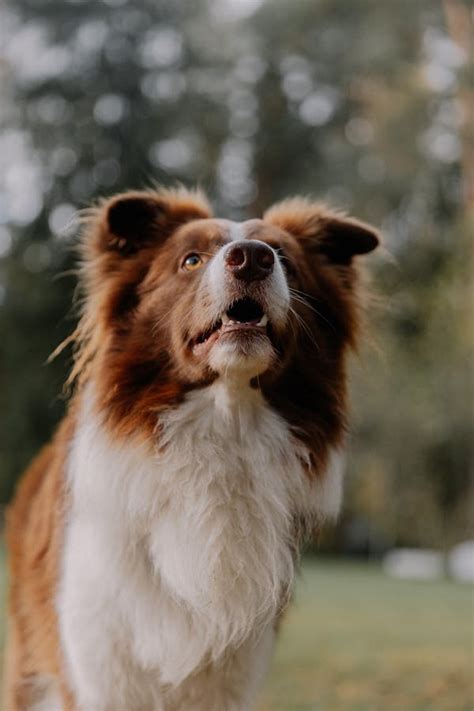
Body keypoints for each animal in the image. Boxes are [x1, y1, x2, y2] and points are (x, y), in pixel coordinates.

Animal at [3, 186, 380, 708]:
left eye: (284, 258)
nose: (253, 259)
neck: (223, 432)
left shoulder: (232, 670)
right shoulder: (98, 659)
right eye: (191, 260)